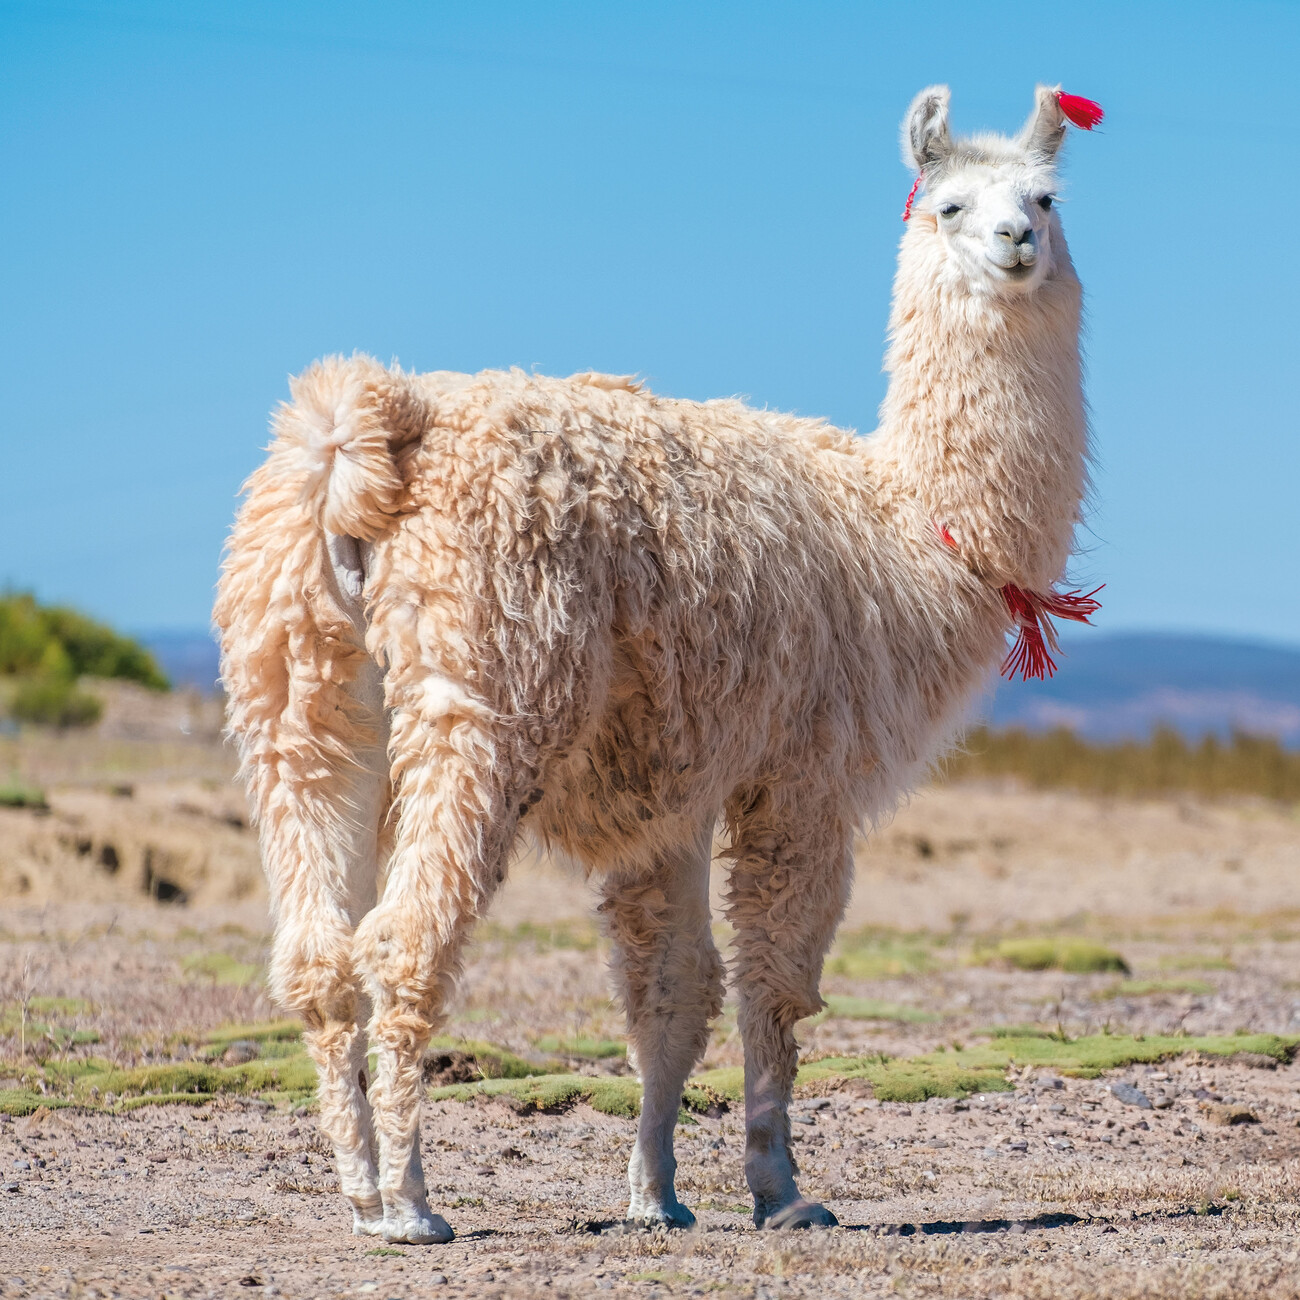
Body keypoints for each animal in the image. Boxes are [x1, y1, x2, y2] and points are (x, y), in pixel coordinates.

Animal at [214, 83, 1102, 1243]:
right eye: (949, 205)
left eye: (1045, 197)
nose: (1014, 244)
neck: (908, 522)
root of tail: (365, 429)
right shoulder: (800, 773)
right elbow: (775, 983)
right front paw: (782, 1190)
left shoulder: (674, 787)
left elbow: (670, 992)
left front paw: (658, 1194)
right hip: (485, 689)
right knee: (402, 942)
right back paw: (411, 1202)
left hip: (297, 687)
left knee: (317, 952)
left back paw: (361, 1189)